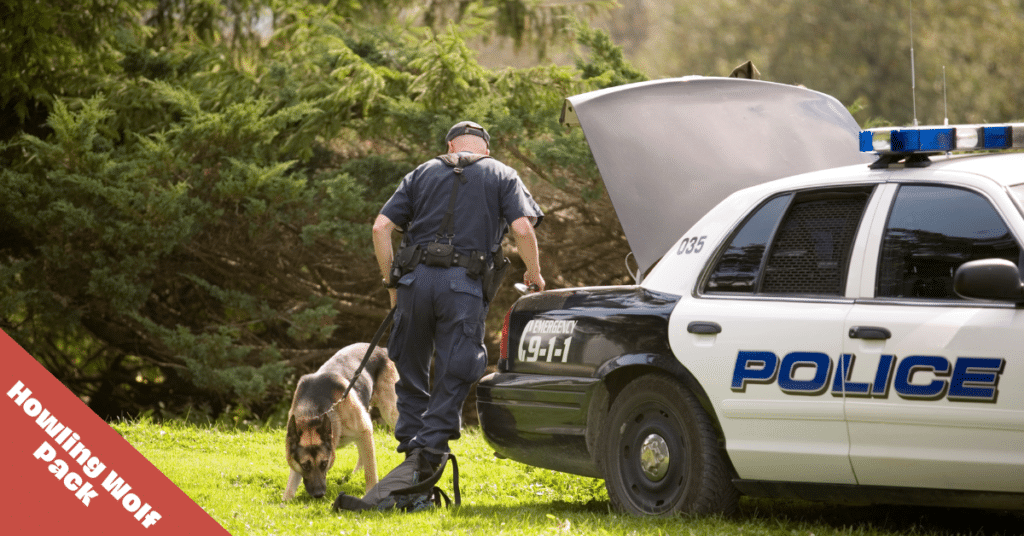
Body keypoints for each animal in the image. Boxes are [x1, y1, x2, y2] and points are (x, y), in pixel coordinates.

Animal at [282, 344, 397, 500]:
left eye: (324, 463)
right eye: (305, 466)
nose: (319, 494)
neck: (312, 413)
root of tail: (381, 349)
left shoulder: (364, 430)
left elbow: (370, 472)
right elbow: (290, 485)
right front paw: (285, 501)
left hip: (389, 411)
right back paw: (355, 474)